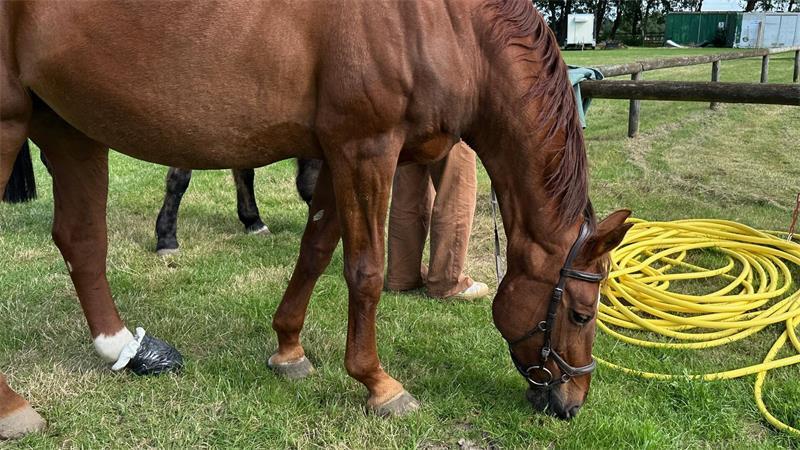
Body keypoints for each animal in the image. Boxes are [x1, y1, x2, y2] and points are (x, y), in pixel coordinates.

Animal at [0, 0, 632, 438]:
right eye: (580, 313)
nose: (572, 404)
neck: (447, 25)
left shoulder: (335, 155)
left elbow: (316, 249)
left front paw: (288, 349)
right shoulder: (367, 148)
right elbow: (365, 271)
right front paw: (377, 383)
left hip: (67, 125)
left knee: (81, 241)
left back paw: (122, 351)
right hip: (11, 122)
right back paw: (15, 406)